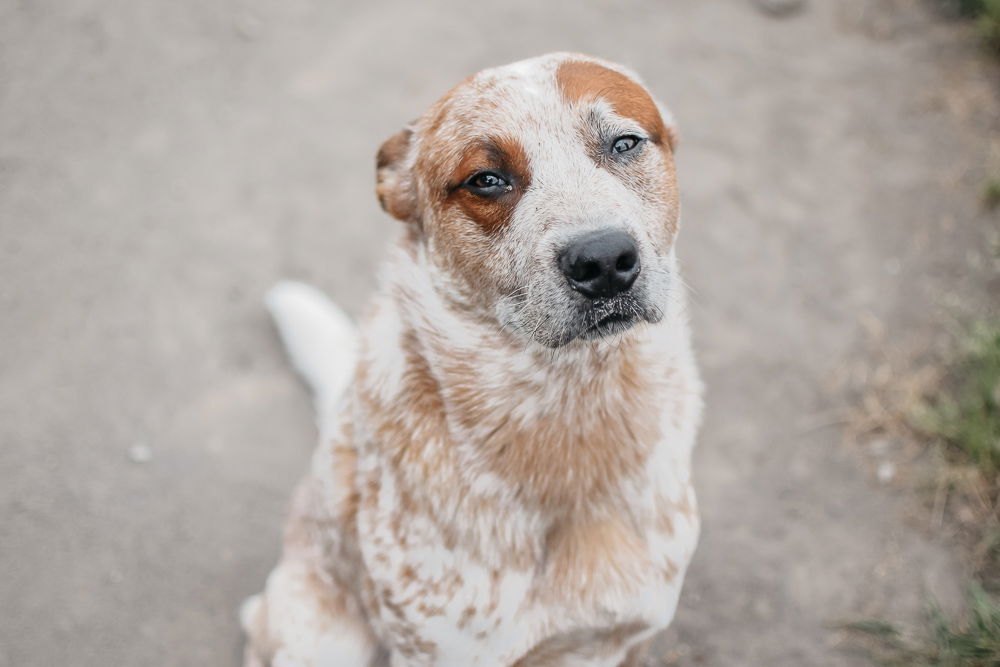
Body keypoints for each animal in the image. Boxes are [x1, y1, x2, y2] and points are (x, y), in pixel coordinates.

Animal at [240, 53, 704, 667]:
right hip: (324, 640)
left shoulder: (625, 639)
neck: (570, 411)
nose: (604, 260)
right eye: (486, 179)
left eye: (624, 142)